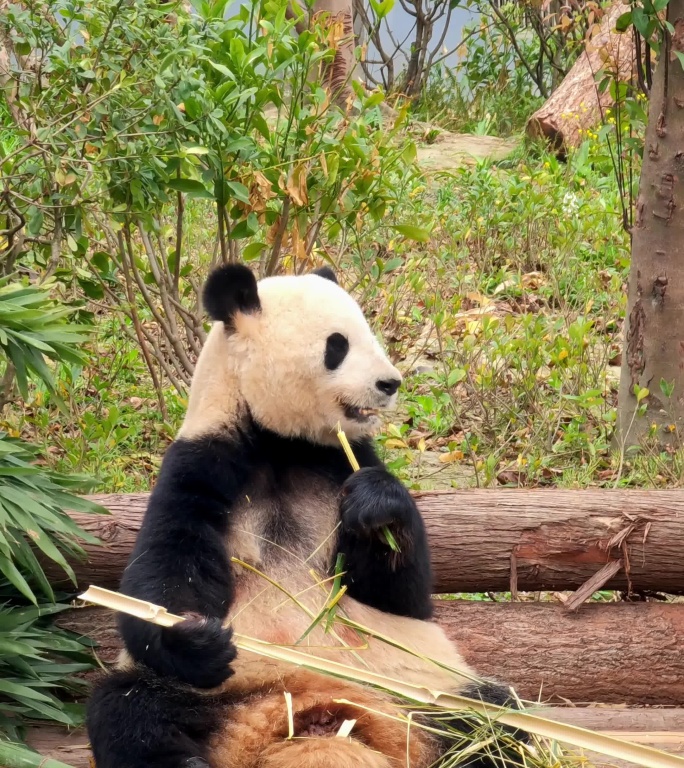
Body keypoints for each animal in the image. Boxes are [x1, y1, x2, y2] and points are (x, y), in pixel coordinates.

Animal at [87, 266, 524, 768]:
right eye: (338, 345)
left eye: (368, 331)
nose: (390, 383)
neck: (282, 444)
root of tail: (314, 718)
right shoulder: (202, 464)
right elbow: (163, 571)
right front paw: (197, 638)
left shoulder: (341, 463)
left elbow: (399, 596)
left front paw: (377, 504)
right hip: (212, 693)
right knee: (131, 709)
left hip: (422, 685)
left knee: (493, 717)